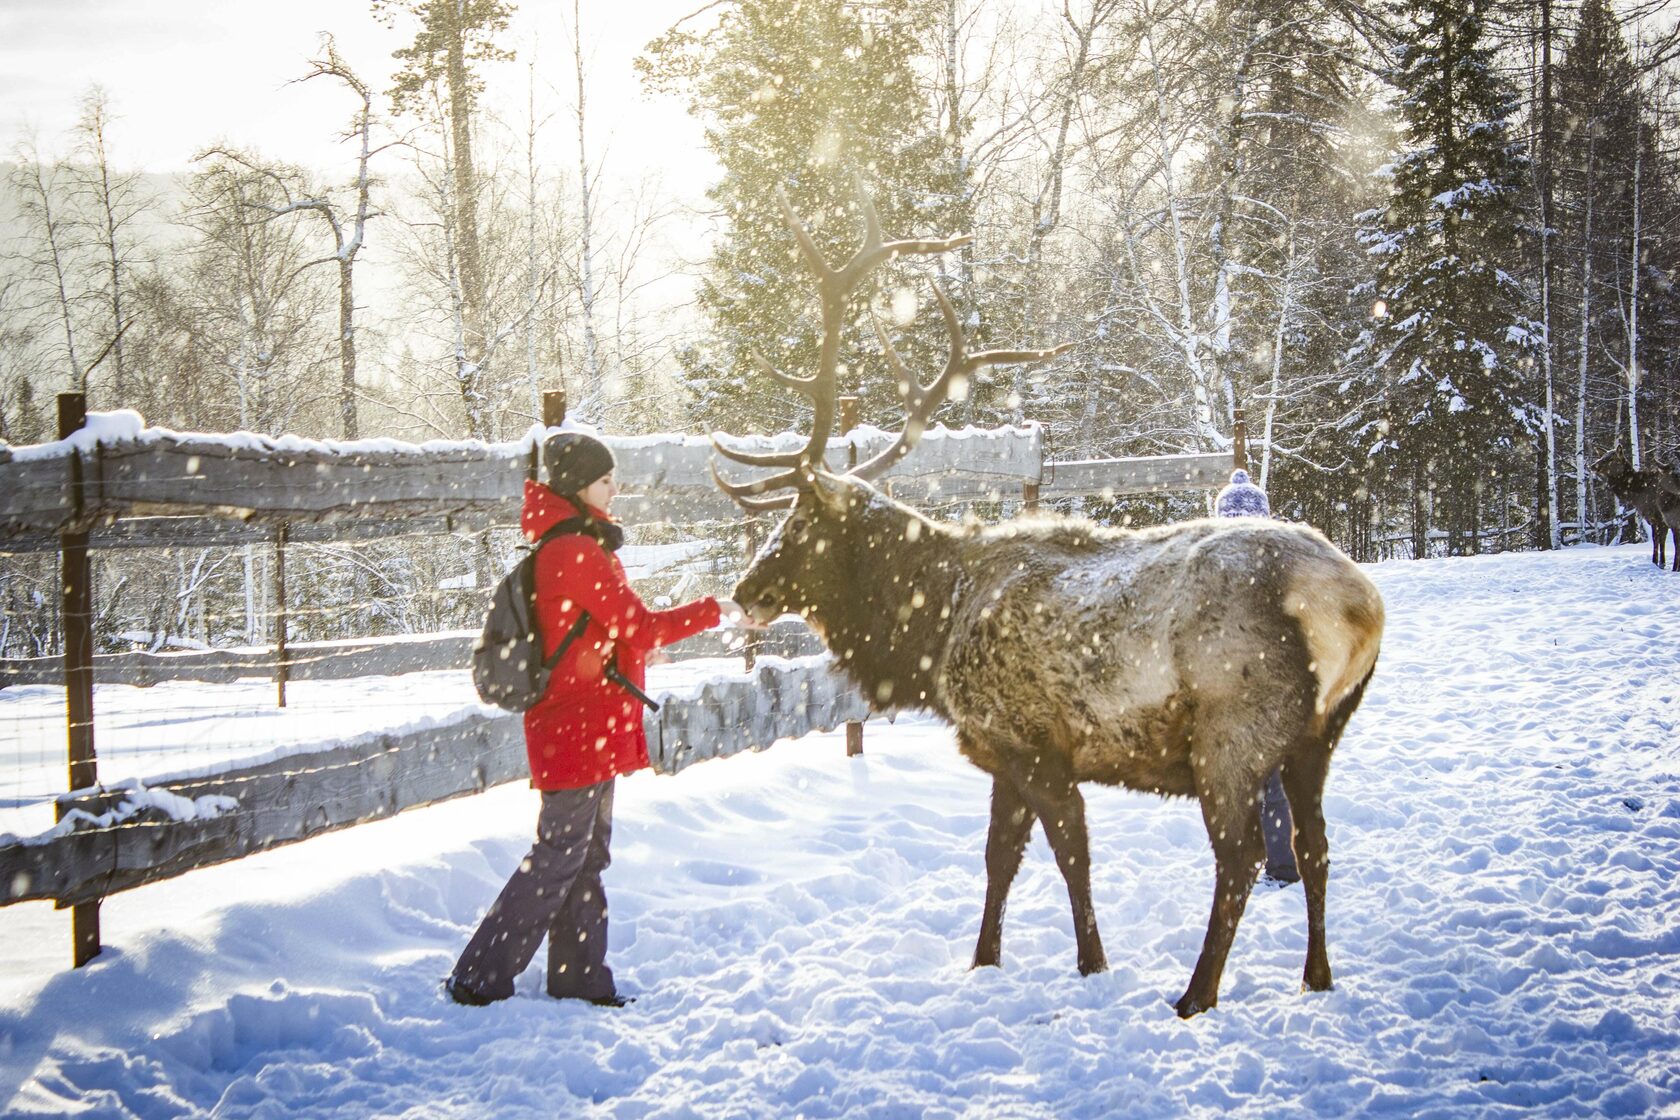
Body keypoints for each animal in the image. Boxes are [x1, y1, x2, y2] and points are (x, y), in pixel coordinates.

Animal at [715, 188, 1384, 1020]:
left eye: (800, 524)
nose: (744, 590)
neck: (931, 634)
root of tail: (1355, 605)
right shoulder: (1001, 749)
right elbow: (999, 857)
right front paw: (983, 959)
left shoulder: (1033, 739)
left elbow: (1071, 854)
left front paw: (1092, 964)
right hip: (1318, 737)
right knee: (1313, 845)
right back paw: (1316, 975)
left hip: (1232, 730)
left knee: (1242, 857)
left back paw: (1195, 994)